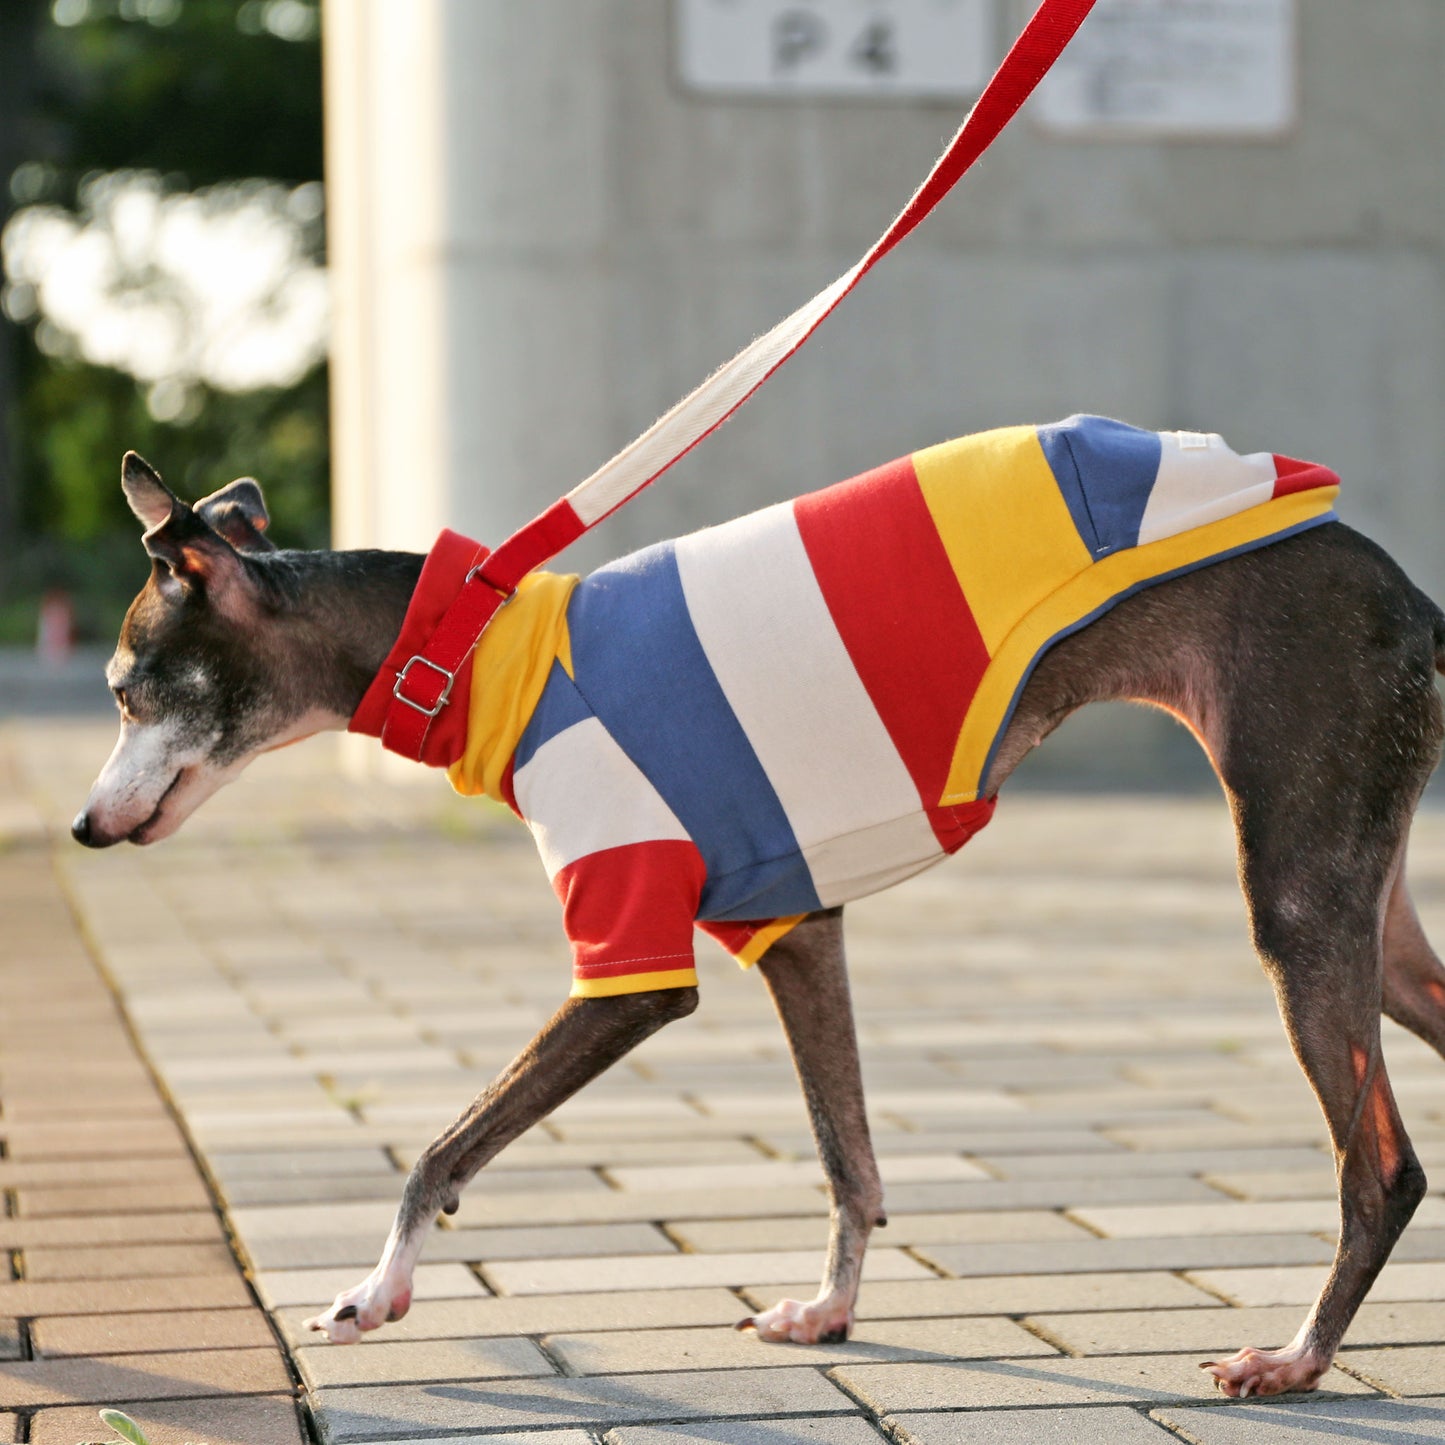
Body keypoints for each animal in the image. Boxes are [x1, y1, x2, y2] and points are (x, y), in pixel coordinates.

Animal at [76, 424, 1445, 1398]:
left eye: (128, 689)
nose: (84, 828)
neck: (473, 651)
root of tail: (1413, 601)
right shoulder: (798, 929)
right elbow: (849, 1158)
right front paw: (829, 1311)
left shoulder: (629, 970)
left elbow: (440, 1152)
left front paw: (375, 1291)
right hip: (1368, 916)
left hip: (1296, 894)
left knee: (1380, 1163)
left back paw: (1296, 1355)